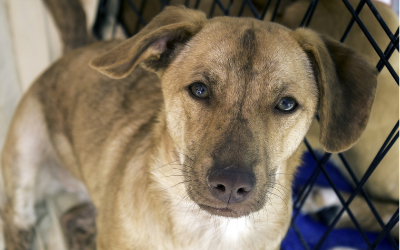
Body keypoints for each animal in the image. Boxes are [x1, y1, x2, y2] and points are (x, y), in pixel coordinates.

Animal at [1, 4, 378, 249]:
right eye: (199, 90)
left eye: (286, 104)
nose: (231, 185)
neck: (211, 231)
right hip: (24, 152)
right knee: (16, 220)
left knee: (71, 218)